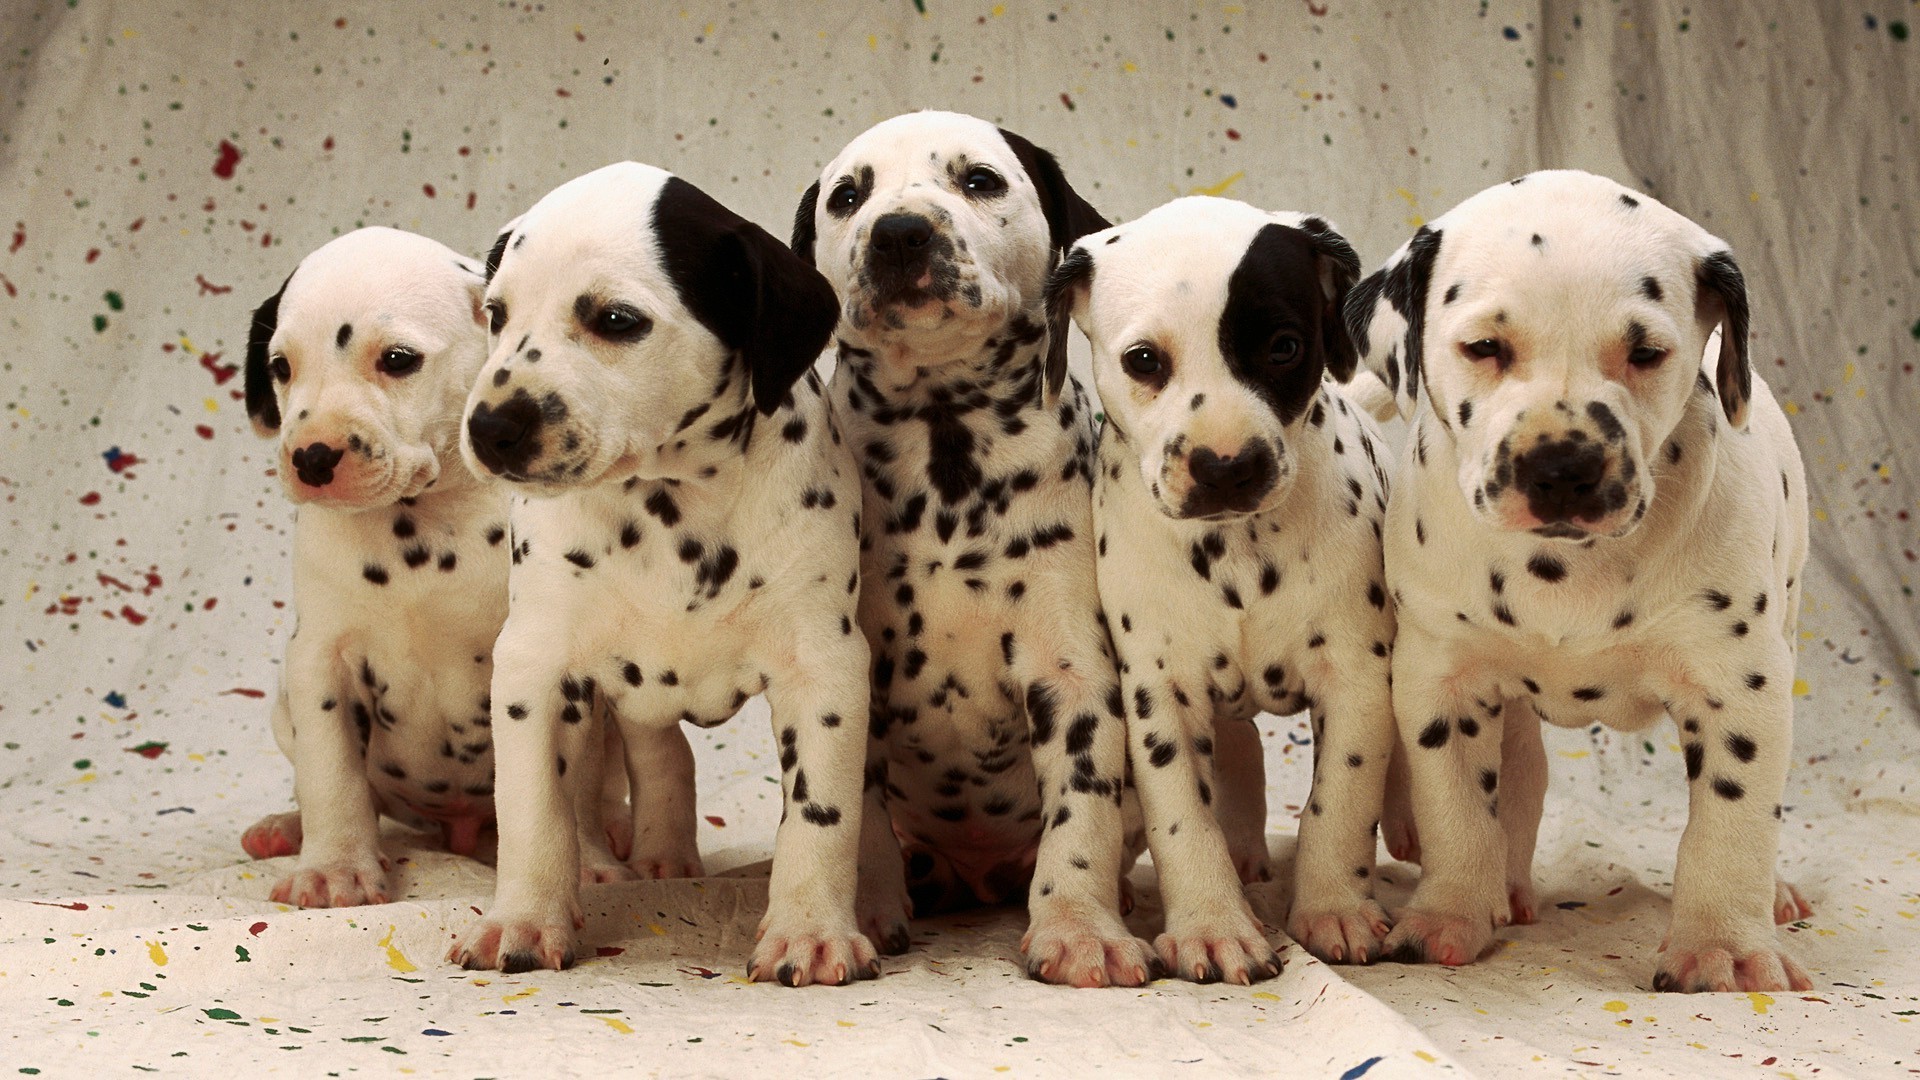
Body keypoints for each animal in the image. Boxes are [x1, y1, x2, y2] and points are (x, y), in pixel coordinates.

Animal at [239, 228, 510, 907]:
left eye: (398, 359)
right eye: (281, 368)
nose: (311, 457)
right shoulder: (320, 664)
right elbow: (333, 779)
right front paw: (335, 867)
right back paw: (286, 827)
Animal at [445, 161, 875, 983]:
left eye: (616, 321)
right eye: (496, 313)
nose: (490, 428)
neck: (670, 505)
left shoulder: (824, 665)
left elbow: (823, 813)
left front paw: (809, 930)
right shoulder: (534, 664)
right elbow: (533, 809)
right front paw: (523, 920)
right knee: (649, 754)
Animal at [1052, 193, 1397, 976]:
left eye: (1284, 347)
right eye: (1143, 360)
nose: (1226, 465)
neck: (1238, 550)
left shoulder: (1356, 678)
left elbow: (1341, 802)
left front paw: (1333, 907)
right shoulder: (1158, 693)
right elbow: (1185, 818)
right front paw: (1212, 922)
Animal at [1344, 170, 1804, 991]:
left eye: (1647, 351)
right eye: (1484, 346)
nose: (1562, 465)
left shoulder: (1739, 689)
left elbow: (1733, 822)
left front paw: (1721, 944)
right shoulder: (1441, 679)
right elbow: (1458, 810)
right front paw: (1448, 915)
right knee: (1520, 786)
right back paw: (1507, 887)